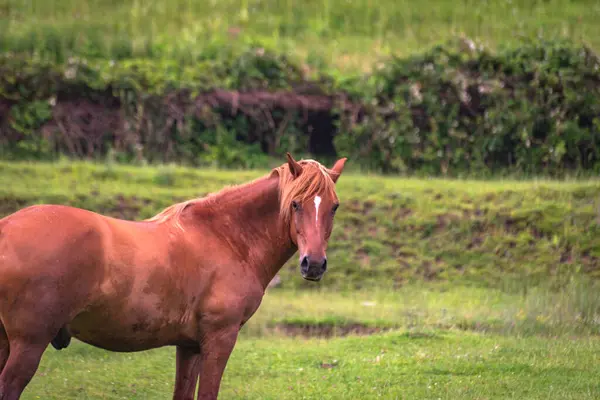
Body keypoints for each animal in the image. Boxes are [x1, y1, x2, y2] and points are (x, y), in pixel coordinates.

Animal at [0, 154, 346, 400]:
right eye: (296, 203)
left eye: (334, 207)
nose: (314, 264)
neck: (227, 237)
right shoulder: (219, 340)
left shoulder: (190, 346)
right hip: (28, 346)